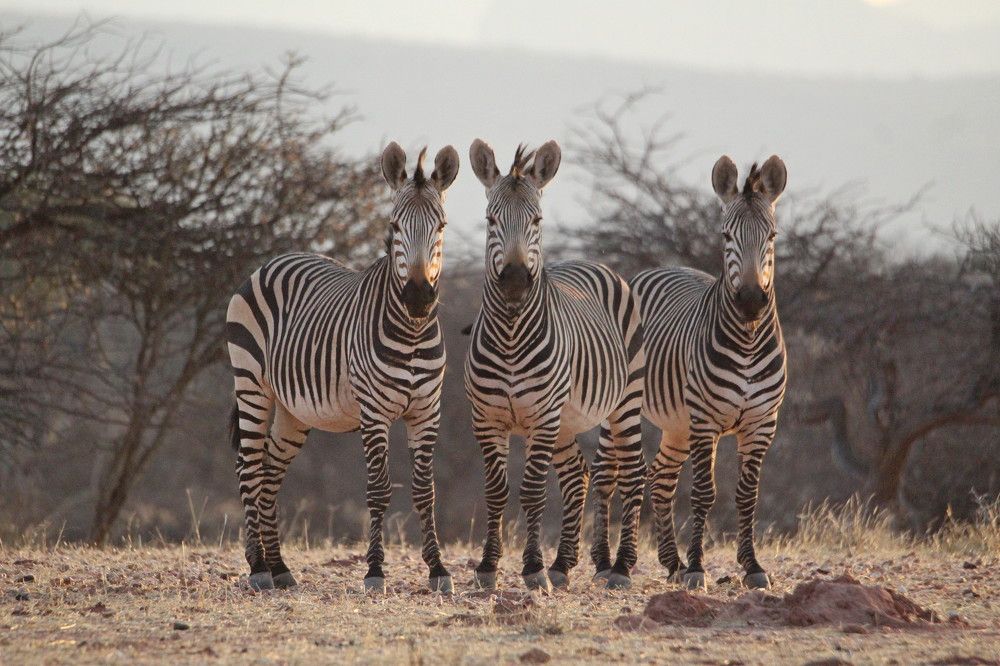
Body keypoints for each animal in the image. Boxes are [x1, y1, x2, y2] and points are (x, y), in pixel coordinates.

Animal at [225, 142, 460, 593]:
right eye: (394, 226)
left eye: (440, 226)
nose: (418, 296)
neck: (412, 331)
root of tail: (272, 262)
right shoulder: (375, 412)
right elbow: (379, 490)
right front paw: (375, 572)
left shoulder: (427, 411)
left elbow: (426, 491)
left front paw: (438, 570)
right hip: (251, 386)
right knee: (249, 469)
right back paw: (258, 568)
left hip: (293, 411)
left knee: (268, 474)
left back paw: (279, 567)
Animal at [464, 139, 647, 592]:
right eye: (491, 219)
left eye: (537, 219)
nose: (514, 279)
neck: (511, 335)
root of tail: (592, 263)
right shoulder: (487, 419)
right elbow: (496, 491)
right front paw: (488, 567)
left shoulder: (541, 417)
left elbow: (532, 490)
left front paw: (531, 569)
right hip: (566, 421)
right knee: (578, 474)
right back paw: (564, 564)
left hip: (625, 402)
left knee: (633, 472)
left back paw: (621, 567)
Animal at [632, 155, 788, 591]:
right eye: (726, 236)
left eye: (772, 236)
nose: (750, 300)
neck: (748, 343)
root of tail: (661, 268)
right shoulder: (705, 420)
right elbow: (703, 493)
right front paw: (698, 568)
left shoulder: (761, 423)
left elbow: (747, 495)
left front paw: (752, 566)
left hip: (676, 424)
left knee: (661, 478)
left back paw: (672, 561)